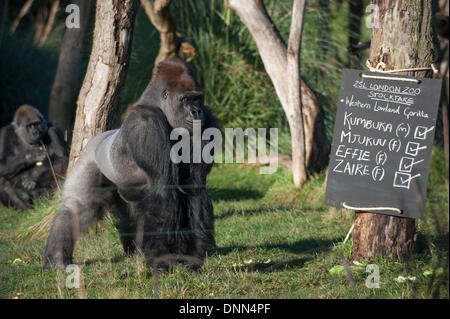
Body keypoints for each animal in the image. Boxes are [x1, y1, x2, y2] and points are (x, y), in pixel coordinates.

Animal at [44, 58, 219, 272]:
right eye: (186, 100)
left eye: (197, 98)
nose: (196, 111)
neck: (159, 107)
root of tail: (96, 139)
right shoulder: (146, 123)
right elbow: (163, 188)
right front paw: (163, 259)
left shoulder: (206, 124)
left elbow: (193, 188)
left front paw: (193, 254)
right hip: (88, 159)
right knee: (79, 208)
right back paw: (57, 258)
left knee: (130, 215)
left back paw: (135, 252)